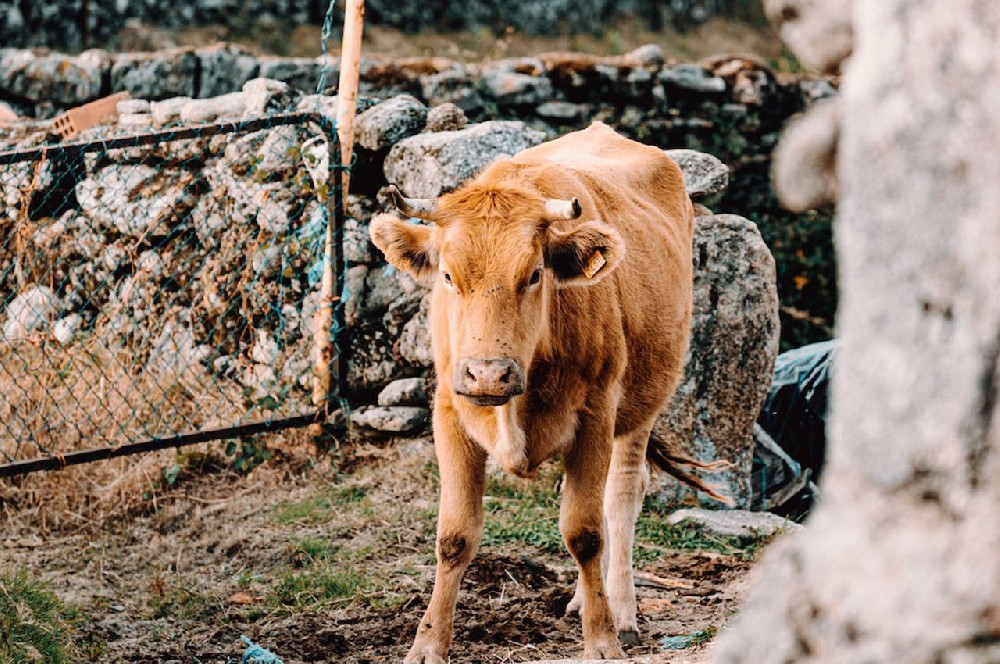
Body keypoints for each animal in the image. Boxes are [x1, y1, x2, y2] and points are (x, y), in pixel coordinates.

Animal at [368, 122, 728, 660]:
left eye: (534, 274)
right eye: (449, 275)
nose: (488, 374)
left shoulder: (596, 417)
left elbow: (585, 533)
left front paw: (602, 640)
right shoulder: (449, 414)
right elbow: (453, 537)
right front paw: (427, 645)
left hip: (642, 406)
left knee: (622, 495)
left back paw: (621, 610)